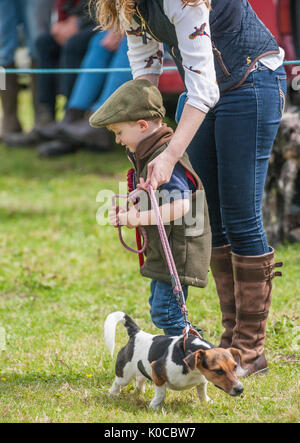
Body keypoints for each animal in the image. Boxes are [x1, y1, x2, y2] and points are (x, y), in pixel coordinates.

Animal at [105, 312, 244, 410]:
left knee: (140, 378)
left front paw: (207, 402)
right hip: (125, 376)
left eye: (235, 367)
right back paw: (113, 394)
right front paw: (154, 407)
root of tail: (137, 333)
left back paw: (139, 391)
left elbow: (202, 392)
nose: (240, 389)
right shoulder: (157, 372)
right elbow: (161, 394)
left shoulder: (201, 381)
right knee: (117, 382)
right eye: (218, 371)